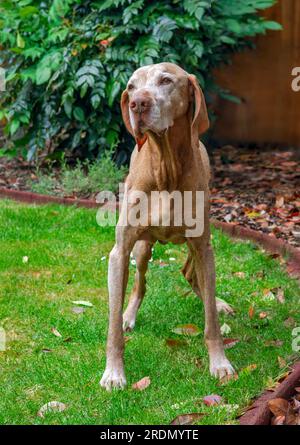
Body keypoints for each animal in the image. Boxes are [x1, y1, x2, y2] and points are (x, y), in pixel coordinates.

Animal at [101, 61, 234, 388]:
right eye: (132, 86)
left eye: (165, 80)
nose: (137, 104)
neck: (165, 167)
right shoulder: (119, 252)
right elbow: (113, 325)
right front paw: (114, 372)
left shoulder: (203, 245)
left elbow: (211, 321)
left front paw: (219, 362)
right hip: (142, 249)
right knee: (140, 282)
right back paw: (129, 314)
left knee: (192, 275)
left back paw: (217, 301)